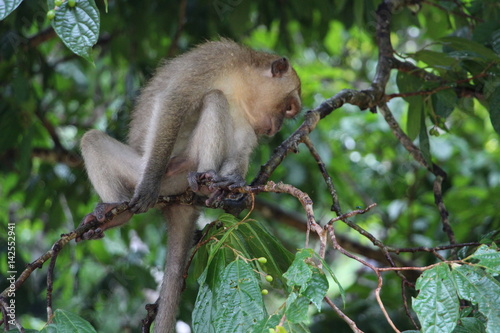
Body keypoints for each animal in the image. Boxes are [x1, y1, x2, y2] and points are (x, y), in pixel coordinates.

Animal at [78, 37, 300, 330]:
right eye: (288, 107)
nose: (276, 128)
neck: (241, 82)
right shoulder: (214, 60)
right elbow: (174, 102)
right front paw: (149, 185)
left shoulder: (247, 116)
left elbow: (242, 147)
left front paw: (233, 182)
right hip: (157, 175)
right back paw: (119, 210)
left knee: (215, 102)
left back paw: (210, 184)